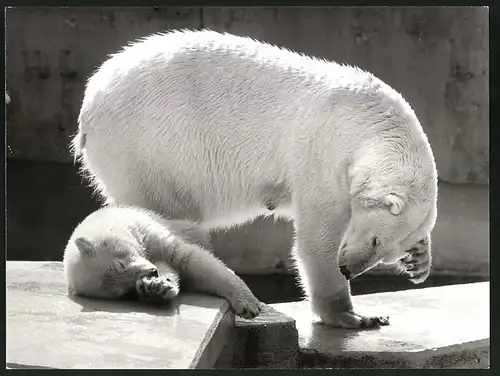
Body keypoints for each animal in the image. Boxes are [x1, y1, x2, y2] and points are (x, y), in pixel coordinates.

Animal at [74, 30, 438, 328]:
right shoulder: (324, 154)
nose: (349, 269)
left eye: (387, 254)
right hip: (149, 148)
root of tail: (90, 103)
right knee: (170, 214)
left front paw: (419, 260)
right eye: (376, 240)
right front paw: (352, 315)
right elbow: (317, 240)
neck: (371, 120)